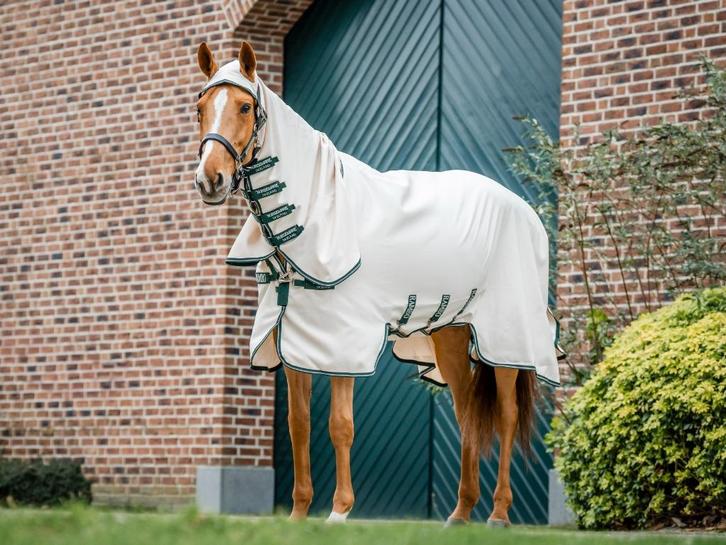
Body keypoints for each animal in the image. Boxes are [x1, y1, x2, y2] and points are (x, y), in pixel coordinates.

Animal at [193, 40, 564, 526]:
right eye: (200, 108)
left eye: (244, 106)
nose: (210, 180)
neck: (313, 219)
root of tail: (524, 209)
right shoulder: (293, 340)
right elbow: (298, 426)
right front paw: (298, 515)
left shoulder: (341, 341)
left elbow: (340, 425)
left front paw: (339, 512)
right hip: (449, 334)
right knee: (466, 410)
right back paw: (460, 513)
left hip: (507, 337)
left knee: (505, 414)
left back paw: (499, 514)